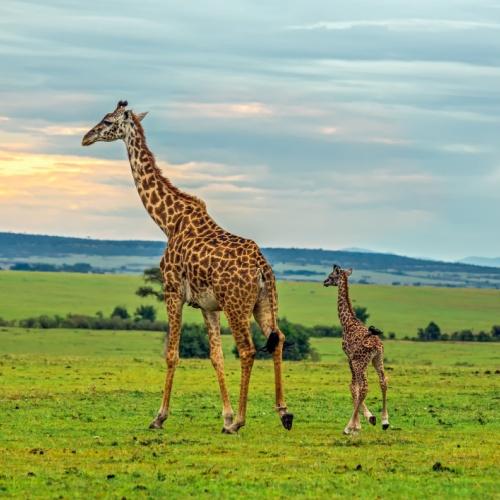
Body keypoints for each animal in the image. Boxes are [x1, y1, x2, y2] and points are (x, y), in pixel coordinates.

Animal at [82, 100, 292, 434]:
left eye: (107, 121)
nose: (86, 138)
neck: (168, 221)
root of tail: (263, 268)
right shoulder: (207, 306)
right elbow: (216, 356)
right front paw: (225, 415)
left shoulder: (172, 291)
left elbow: (171, 354)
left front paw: (159, 417)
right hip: (263, 302)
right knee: (278, 339)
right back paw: (283, 413)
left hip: (237, 305)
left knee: (247, 350)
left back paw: (241, 422)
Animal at [322, 266, 388, 434]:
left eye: (331, 276)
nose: (324, 282)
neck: (347, 322)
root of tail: (377, 345)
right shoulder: (356, 361)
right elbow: (355, 387)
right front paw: (369, 418)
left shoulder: (349, 358)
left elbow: (353, 387)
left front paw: (356, 425)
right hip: (378, 360)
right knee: (383, 381)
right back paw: (385, 421)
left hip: (361, 363)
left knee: (364, 387)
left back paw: (347, 427)